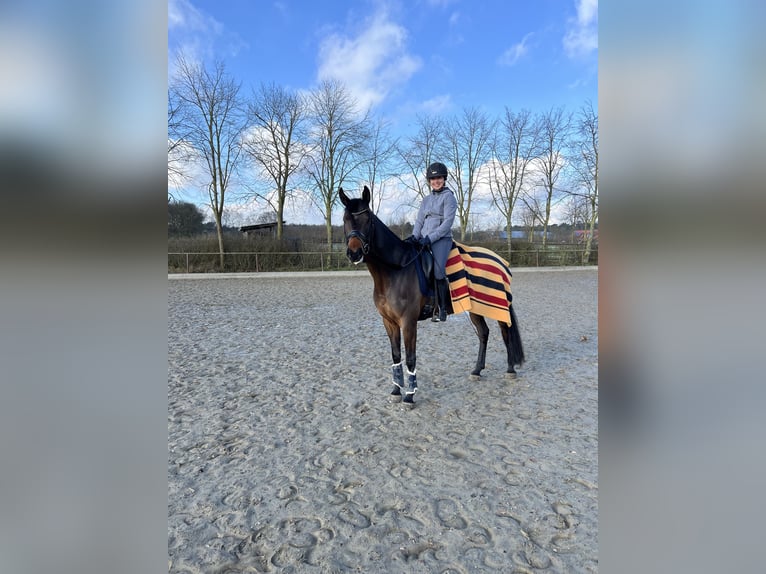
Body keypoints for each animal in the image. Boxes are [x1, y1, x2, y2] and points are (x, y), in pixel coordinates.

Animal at [339, 185, 525, 404]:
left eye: (367, 218)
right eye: (345, 219)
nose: (354, 253)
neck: (396, 270)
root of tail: (499, 260)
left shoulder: (408, 322)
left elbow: (411, 358)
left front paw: (410, 396)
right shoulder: (389, 322)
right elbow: (396, 356)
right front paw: (396, 391)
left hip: (495, 305)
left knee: (505, 331)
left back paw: (510, 370)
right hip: (475, 308)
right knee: (483, 333)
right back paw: (477, 371)